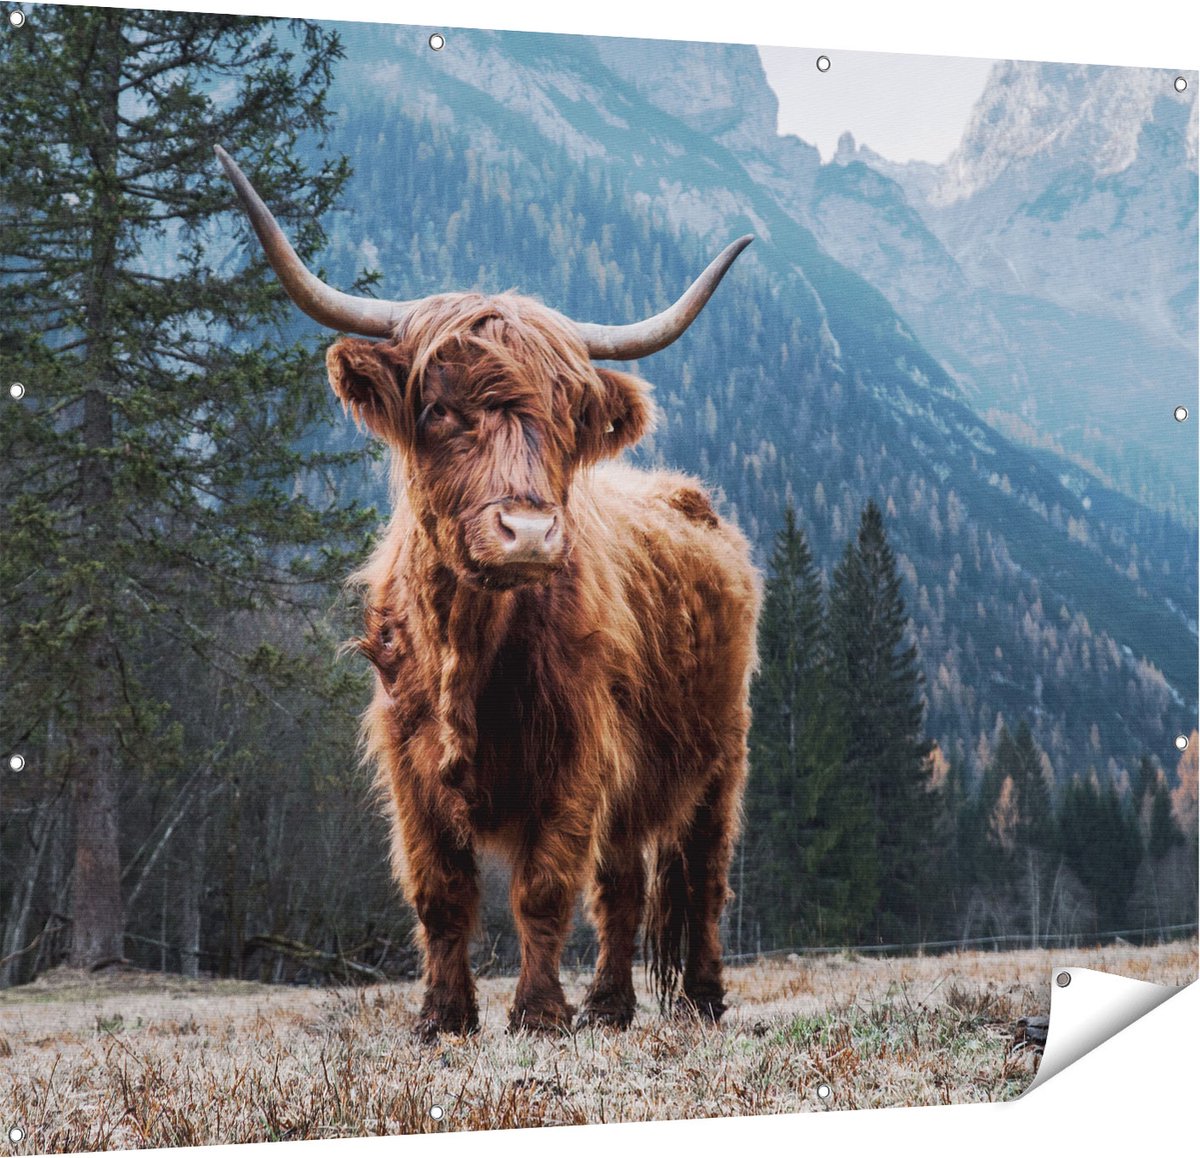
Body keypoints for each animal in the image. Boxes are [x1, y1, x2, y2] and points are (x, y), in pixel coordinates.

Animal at [217, 146, 761, 1038]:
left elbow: (543, 890)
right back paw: (609, 1007)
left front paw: (537, 1014)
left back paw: (701, 1000)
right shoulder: (409, 764)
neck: (466, 647)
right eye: (440, 410)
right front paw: (444, 1017)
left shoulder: (576, 754)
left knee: (702, 877)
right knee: (623, 887)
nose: (530, 532)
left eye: (568, 417)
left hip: (721, 753)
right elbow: (441, 892)